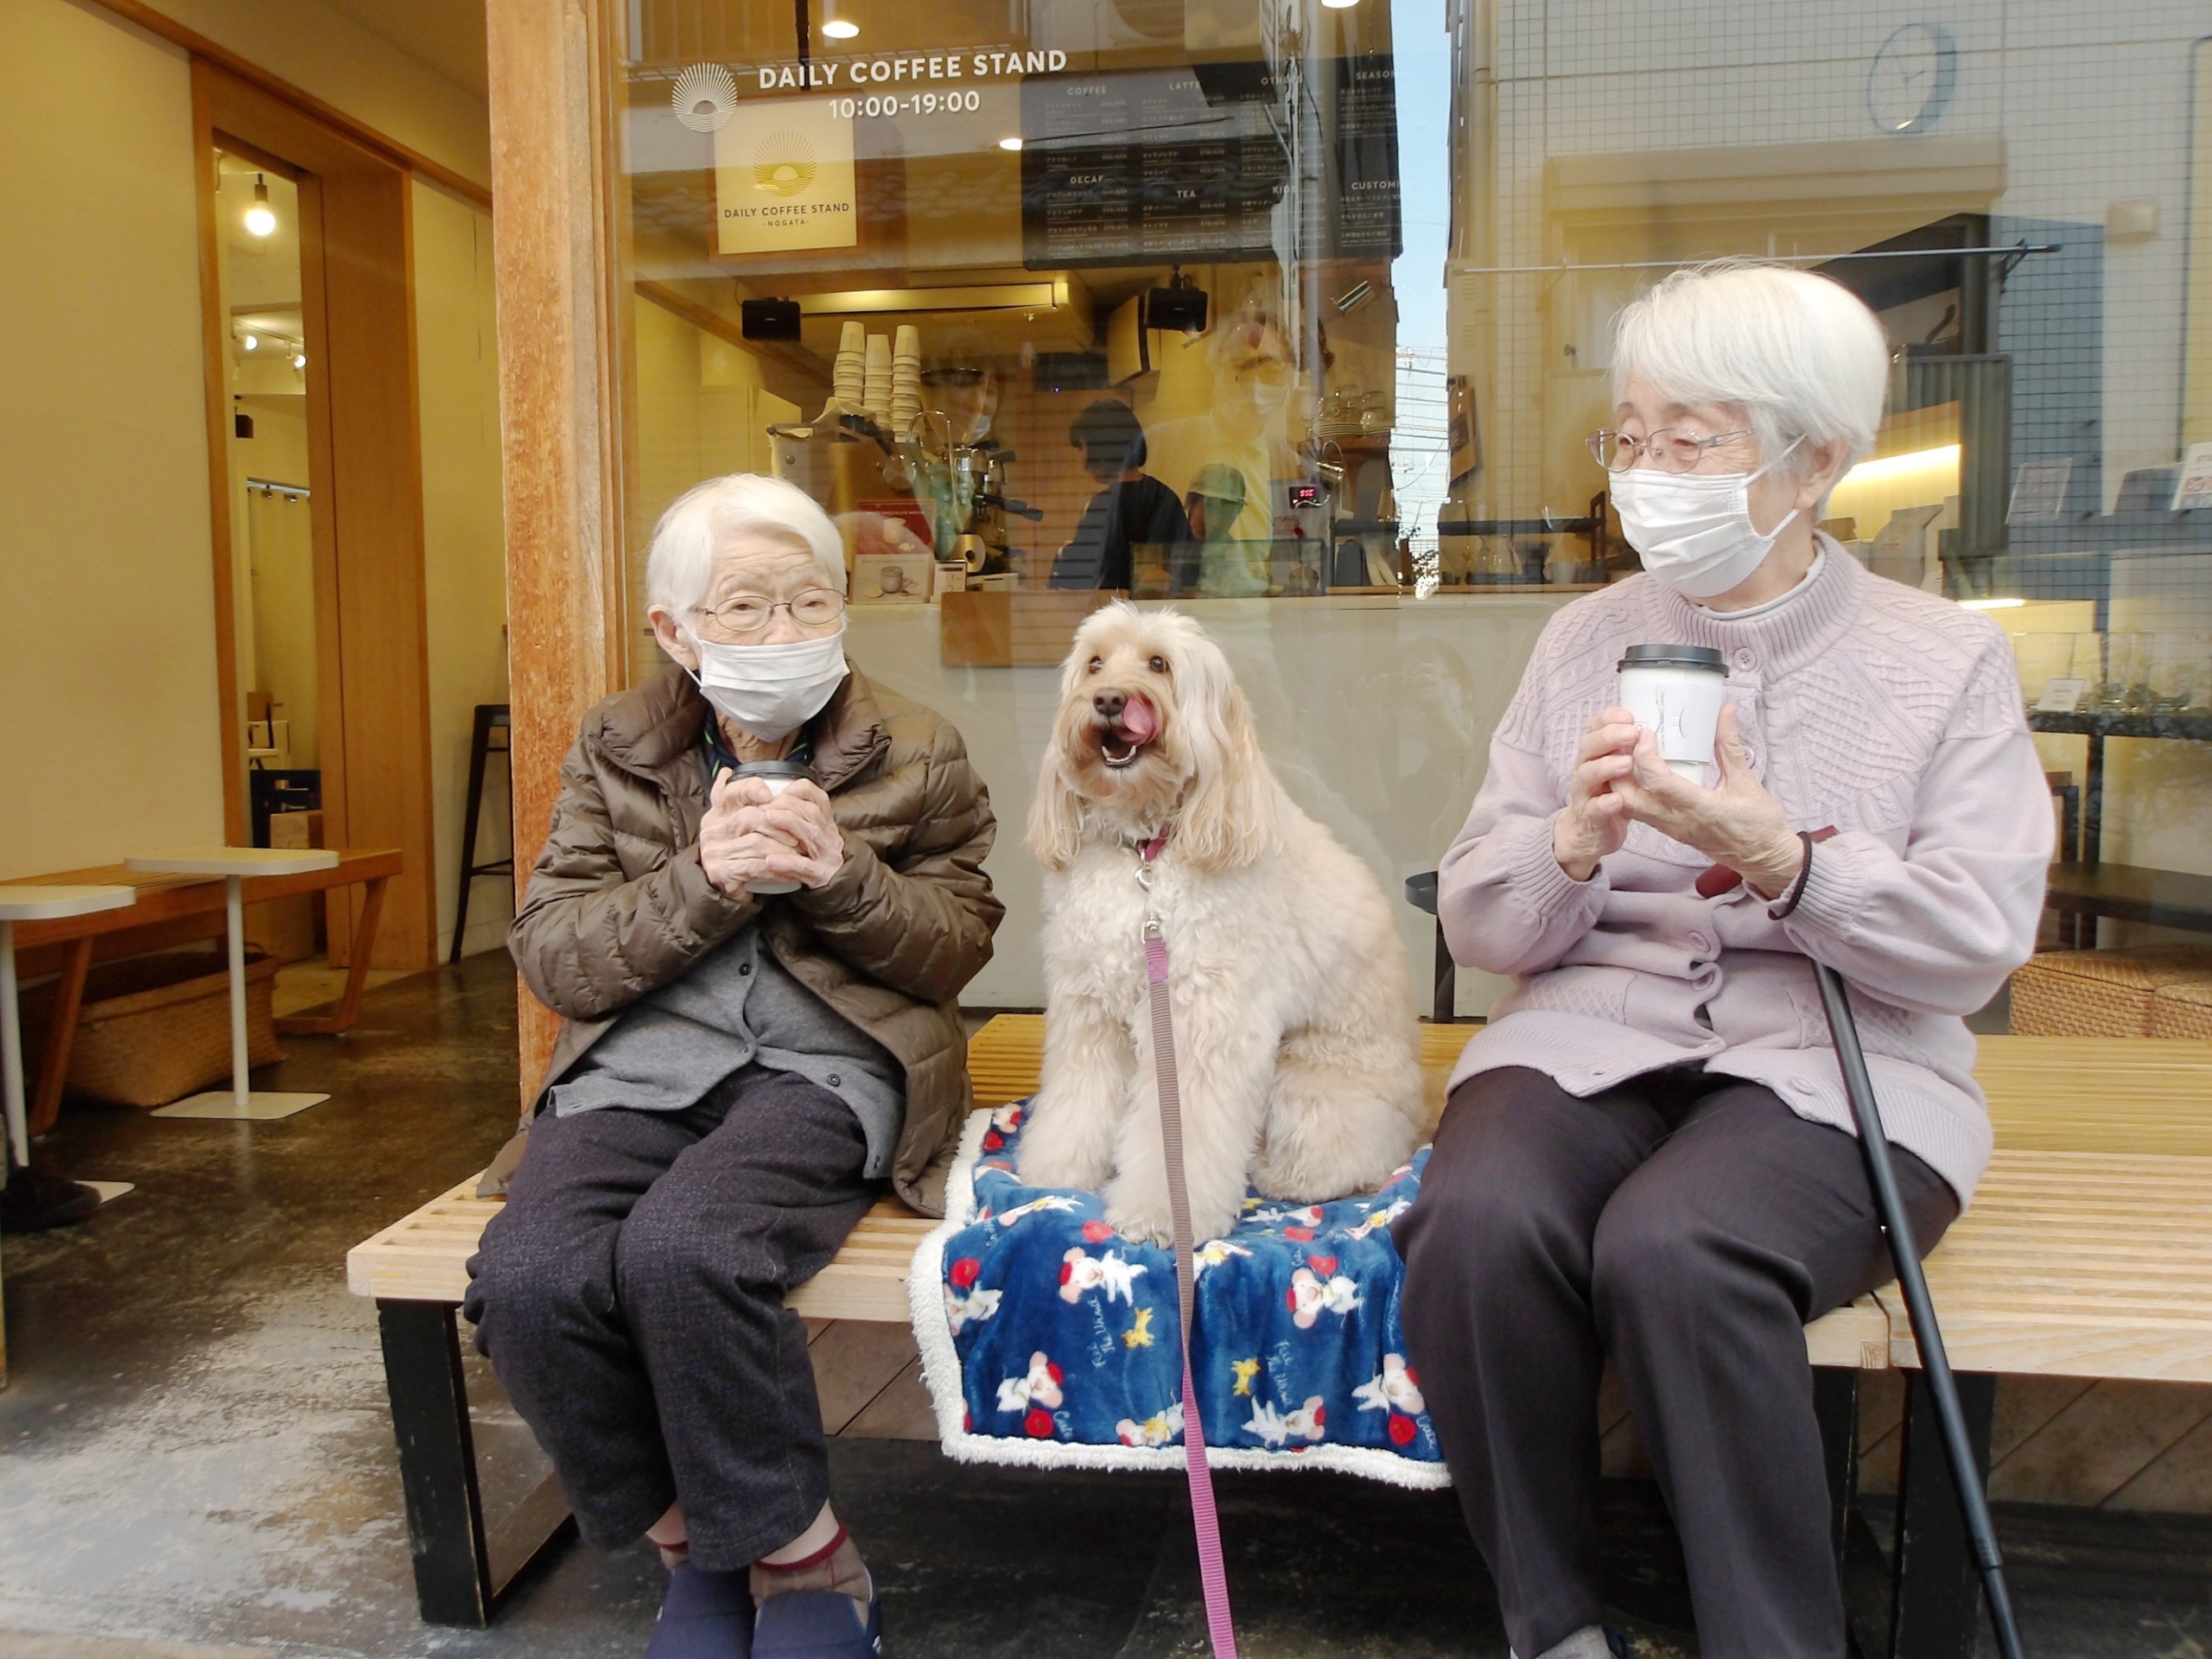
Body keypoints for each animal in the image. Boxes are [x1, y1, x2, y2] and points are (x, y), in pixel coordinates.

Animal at [1013, 606, 1415, 1238]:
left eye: (1158, 664)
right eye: (1094, 664)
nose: (1108, 699)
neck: (1145, 851)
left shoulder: (1200, 1023)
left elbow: (1179, 1138)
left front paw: (1162, 1214)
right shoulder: (1089, 1011)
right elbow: (1078, 1097)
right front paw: (1058, 1171)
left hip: (1309, 1088)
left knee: (1348, 1157)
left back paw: (1285, 1176)